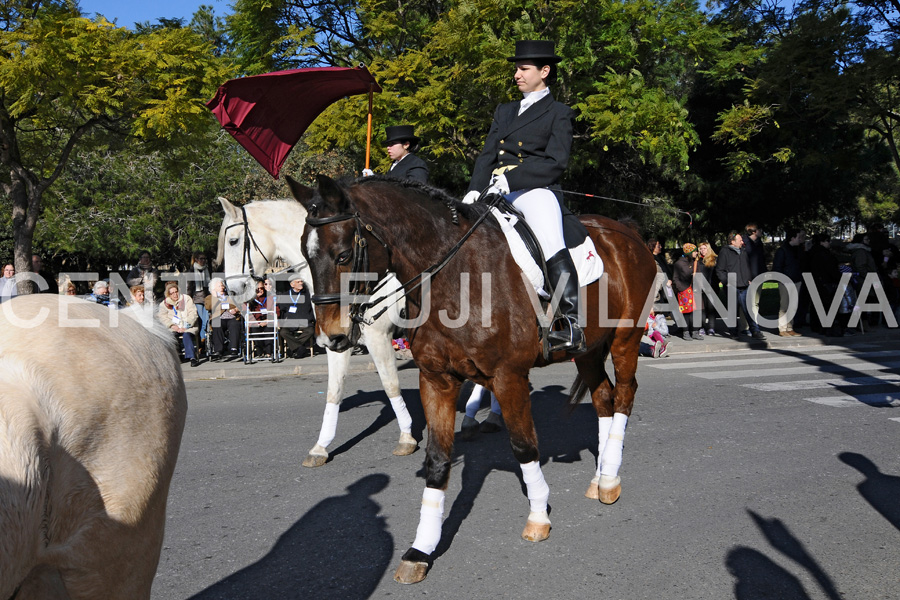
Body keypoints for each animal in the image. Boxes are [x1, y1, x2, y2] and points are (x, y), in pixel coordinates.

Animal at [216, 197, 416, 464]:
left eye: (233, 241)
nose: (234, 291)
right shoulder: (336, 341)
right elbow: (334, 391)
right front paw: (320, 447)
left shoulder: (378, 337)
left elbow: (390, 384)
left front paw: (406, 437)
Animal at [286, 172, 652, 580]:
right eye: (304, 255)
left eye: (343, 255)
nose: (329, 338)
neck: (455, 276)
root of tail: (627, 230)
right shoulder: (436, 379)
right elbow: (437, 459)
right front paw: (420, 549)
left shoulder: (509, 377)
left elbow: (524, 447)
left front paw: (538, 517)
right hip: (588, 351)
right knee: (603, 397)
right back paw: (600, 478)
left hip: (625, 338)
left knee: (624, 394)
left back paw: (610, 478)